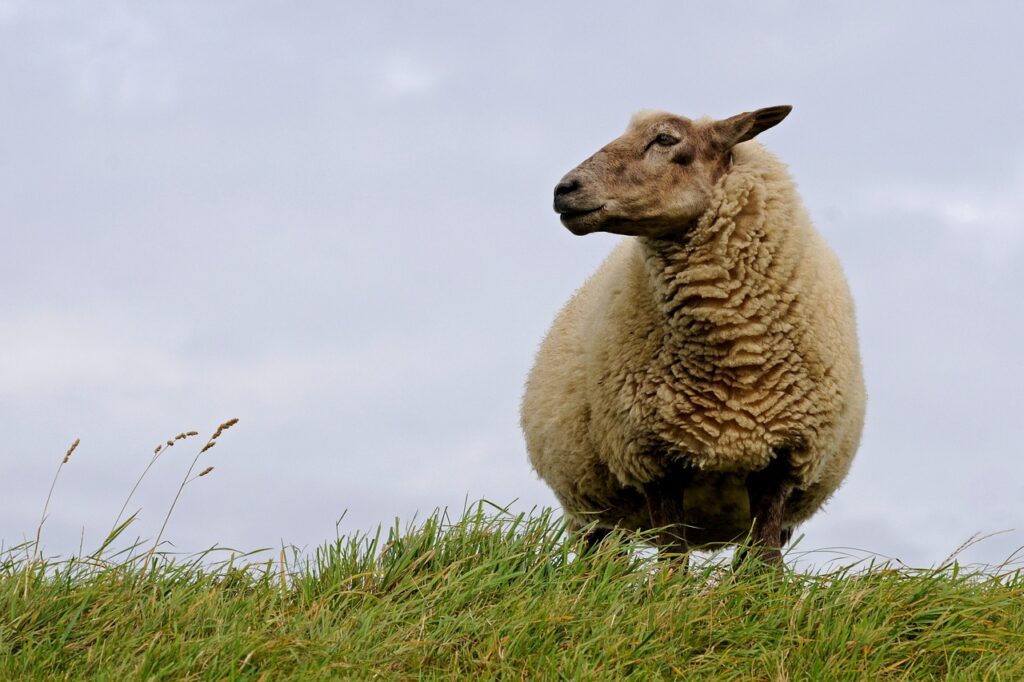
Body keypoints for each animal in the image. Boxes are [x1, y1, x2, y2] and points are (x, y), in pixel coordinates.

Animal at [520, 104, 864, 561]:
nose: (563, 190)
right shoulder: (651, 460)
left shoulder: (784, 461)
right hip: (594, 511)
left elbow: (765, 563)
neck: (737, 358)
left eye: (665, 139)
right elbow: (673, 560)